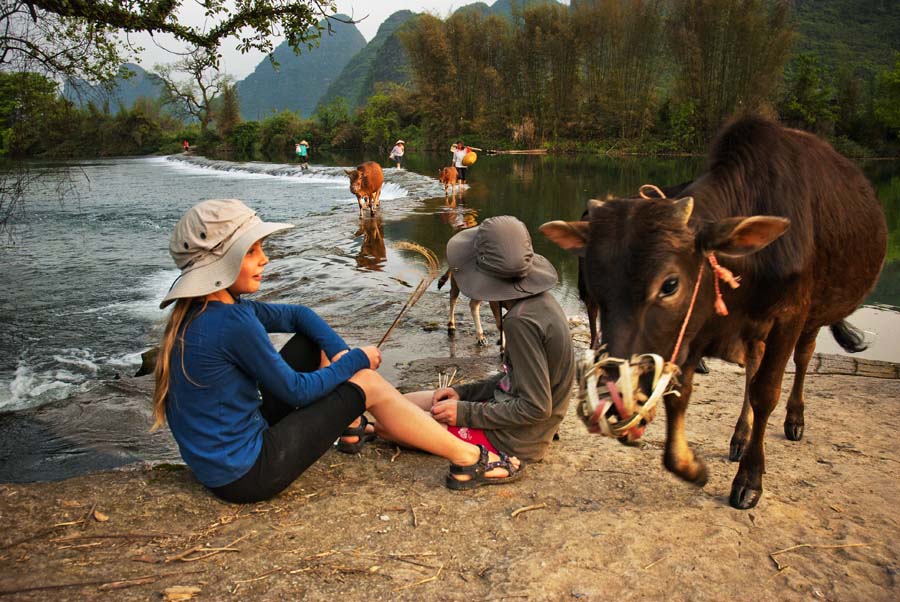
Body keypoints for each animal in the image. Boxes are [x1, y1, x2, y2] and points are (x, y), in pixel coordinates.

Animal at [540, 116, 884, 506]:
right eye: (598, 277)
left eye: (670, 285)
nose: (616, 397)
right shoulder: (695, 331)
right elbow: (682, 396)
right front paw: (691, 467)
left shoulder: (789, 317)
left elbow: (766, 392)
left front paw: (749, 478)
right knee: (753, 364)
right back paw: (740, 436)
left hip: (812, 316)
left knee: (803, 356)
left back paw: (794, 419)